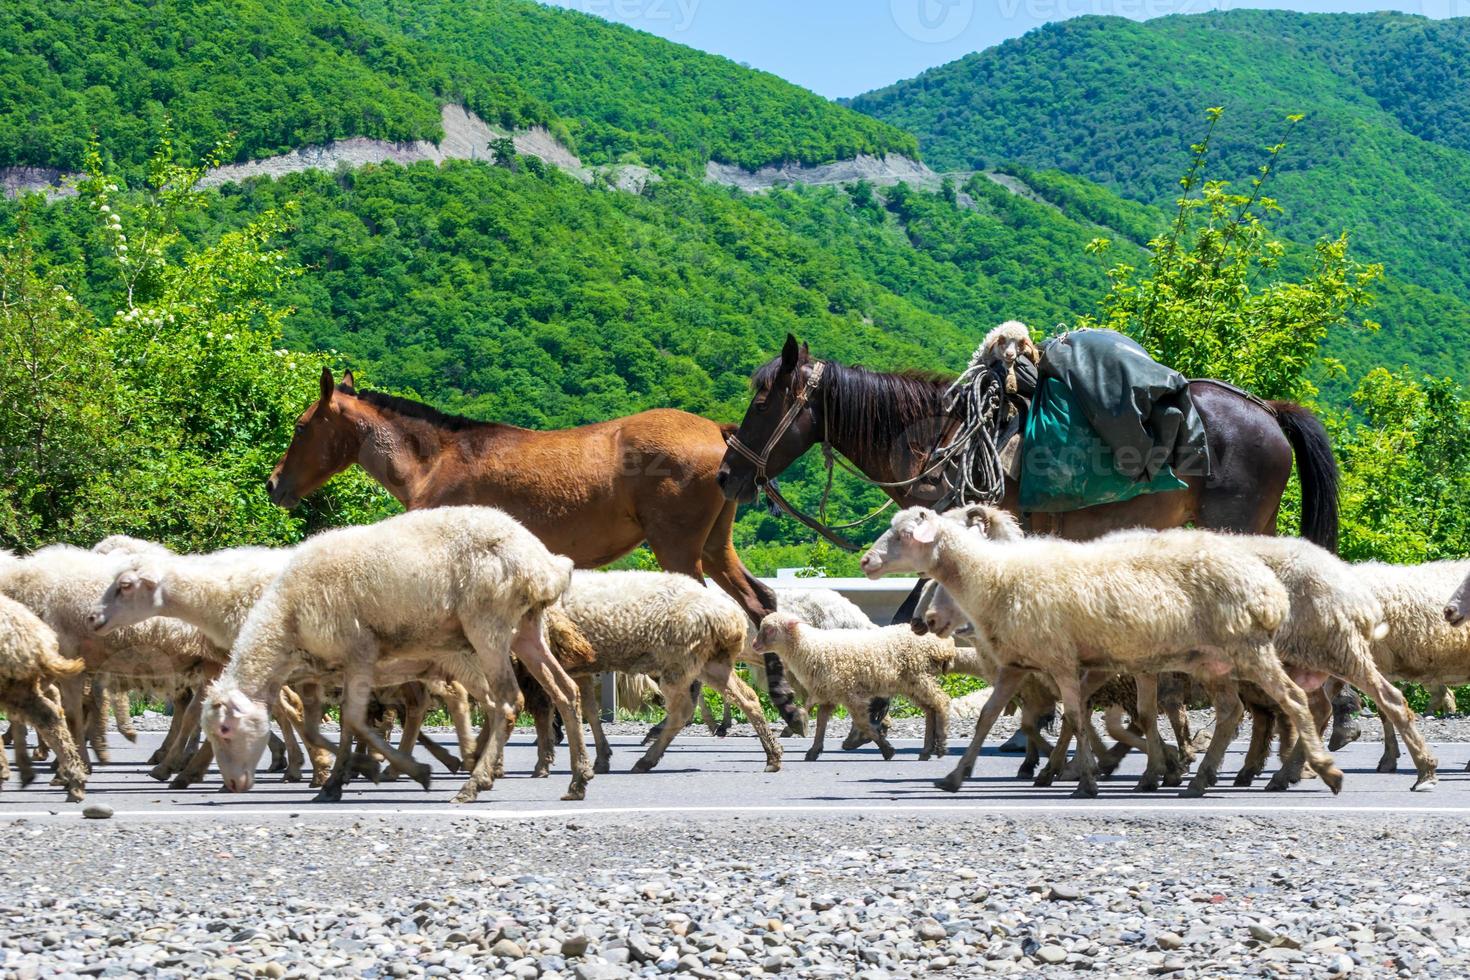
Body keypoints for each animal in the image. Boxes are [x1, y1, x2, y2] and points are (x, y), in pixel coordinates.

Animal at [202, 505, 590, 805]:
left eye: (224, 729)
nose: (233, 784)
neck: (287, 619)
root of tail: (542, 562)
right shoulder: (329, 669)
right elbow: (332, 726)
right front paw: (335, 781)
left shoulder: (359, 651)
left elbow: (352, 719)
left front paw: (404, 770)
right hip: (526, 628)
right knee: (565, 690)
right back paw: (578, 781)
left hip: (488, 624)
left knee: (509, 701)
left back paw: (473, 783)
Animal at [270, 367, 811, 728]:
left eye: (300, 426)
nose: (276, 484)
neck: (438, 460)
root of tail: (721, 435)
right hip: (716, 549)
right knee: (758, 603)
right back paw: (783, 710)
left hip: (680, 552)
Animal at [752, 617, 958, 764]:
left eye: (769, 629)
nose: (754, 644)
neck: (809, 647)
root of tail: (942, 644)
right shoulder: (829, 694)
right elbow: (821, 723)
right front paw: (814, 751)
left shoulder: (850, 693)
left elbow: (863, 723)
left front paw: (887, 749)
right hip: (912, 683)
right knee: (930, 709)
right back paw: (926, 751)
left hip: (918, 676)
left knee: (941, 702)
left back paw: (941, 746)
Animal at [858, 505, 1340, 799]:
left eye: (904, 534)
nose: (865, 562)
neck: (996, 575)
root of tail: (1267, 585)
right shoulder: (1020, 665)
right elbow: (989, 718)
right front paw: (955, 776)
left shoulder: (1061, 661)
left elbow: (1076, 716)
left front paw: (1086, 777)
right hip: (1213, 660)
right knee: (1232, 712)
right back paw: (1202, 779)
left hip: (1248, 647)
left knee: (1294, 700)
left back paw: (1317, 769)